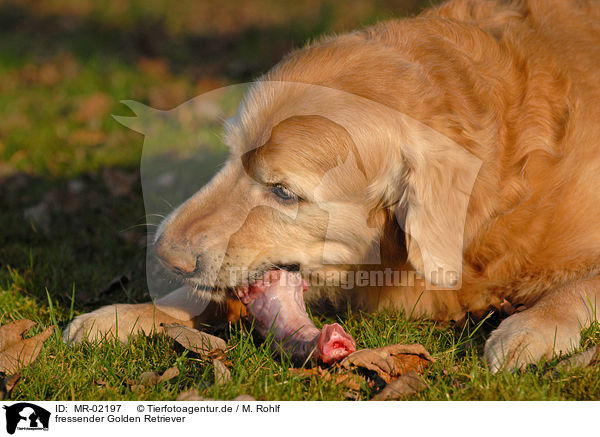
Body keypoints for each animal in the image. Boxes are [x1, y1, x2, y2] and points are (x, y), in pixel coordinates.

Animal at [63, 0, 600, 372]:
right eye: (230, 156)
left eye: (283, 192)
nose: (164, 254)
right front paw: (127, 314)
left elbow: (577, 286)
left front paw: (532, 328)